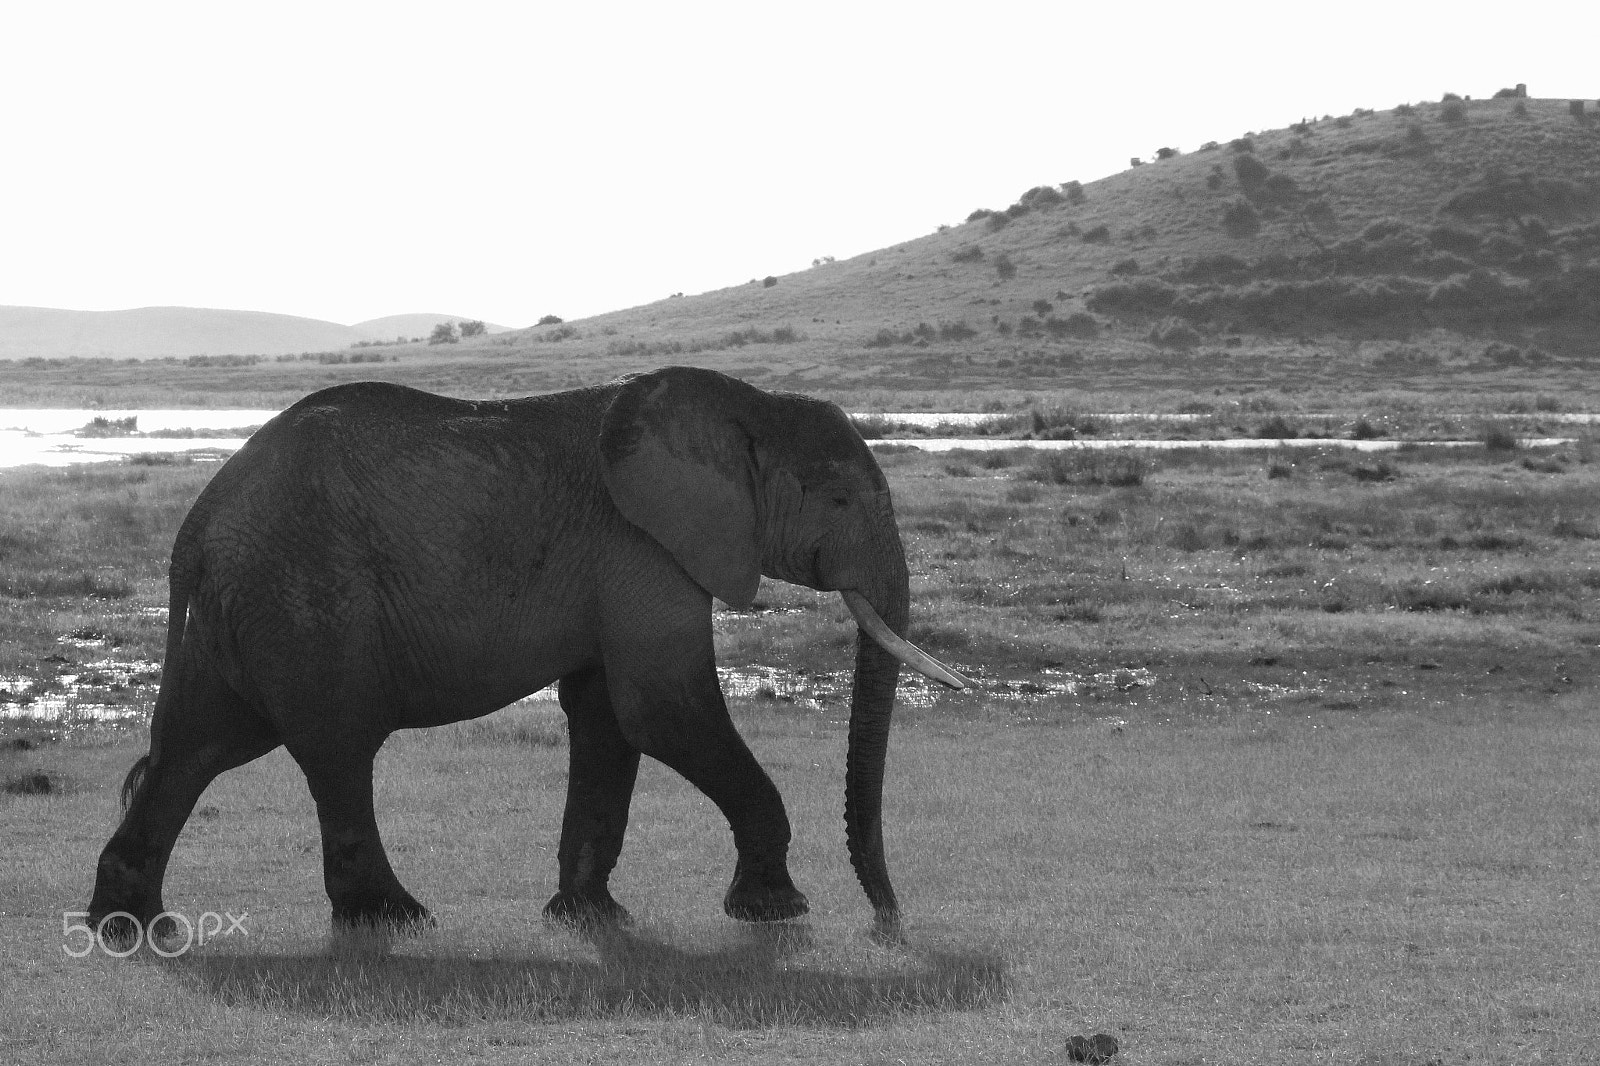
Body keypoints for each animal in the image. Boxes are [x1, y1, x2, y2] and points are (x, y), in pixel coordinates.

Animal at [87, 365, 967, 942]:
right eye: (842, 499)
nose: (887, 922)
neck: (745, 405)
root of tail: (195, 524)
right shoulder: (643, 544)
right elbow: (663, 708)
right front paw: (777, 909)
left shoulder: (628, 555)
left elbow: (609, 716)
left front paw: (590, 916)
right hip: (303, 594)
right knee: (334, 748)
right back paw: (396, 918)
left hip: (245, 610)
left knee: (196, 747)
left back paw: (130, 928)